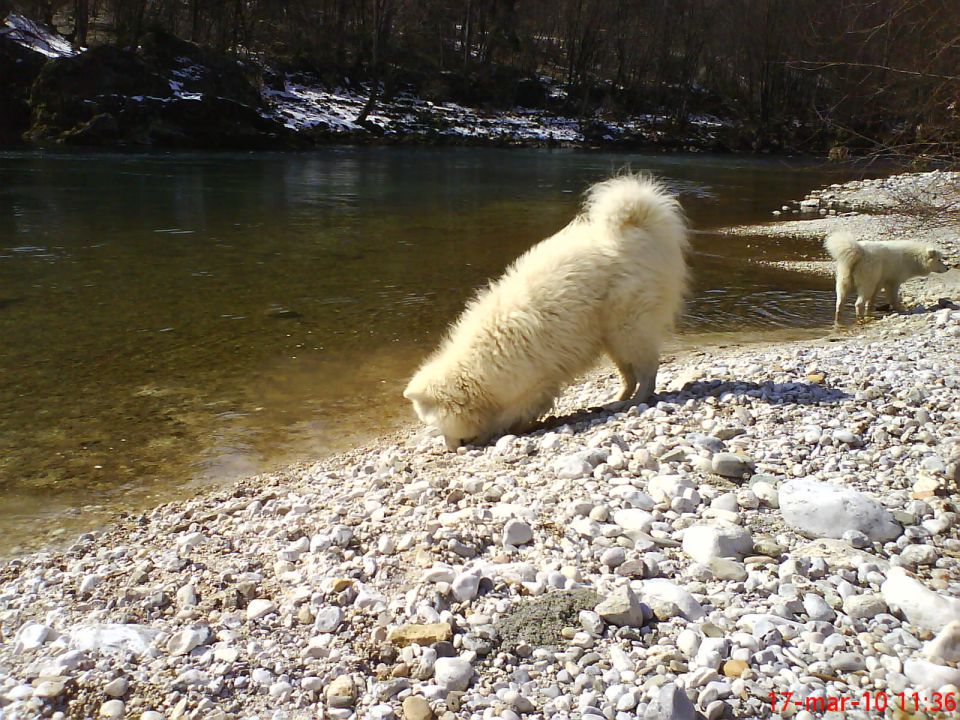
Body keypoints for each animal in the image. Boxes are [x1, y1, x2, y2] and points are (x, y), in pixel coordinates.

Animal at [402, 172, 688, 448]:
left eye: (438, 426)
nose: (449, 449)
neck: (478, 369)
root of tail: (636, 226)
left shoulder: (534, 383)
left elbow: (512, 412)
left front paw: (495, 431)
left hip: (627, 326)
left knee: (647, 369)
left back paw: (636, 400)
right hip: (610, 336)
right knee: (629, 373)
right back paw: (617, 399)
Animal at [820, 231, 948, 324]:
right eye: (939, 260)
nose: (947, 268)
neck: (914, 258)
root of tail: (859, 252)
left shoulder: (879, 282)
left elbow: (872, 300)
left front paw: (870, 310)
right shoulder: (893, 281)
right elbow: (893, 298)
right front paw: (902, 309)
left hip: (843, 281)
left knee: (839, 302)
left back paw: (839, 318)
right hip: (867, 283)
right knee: (858, 303)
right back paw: (860, 318)